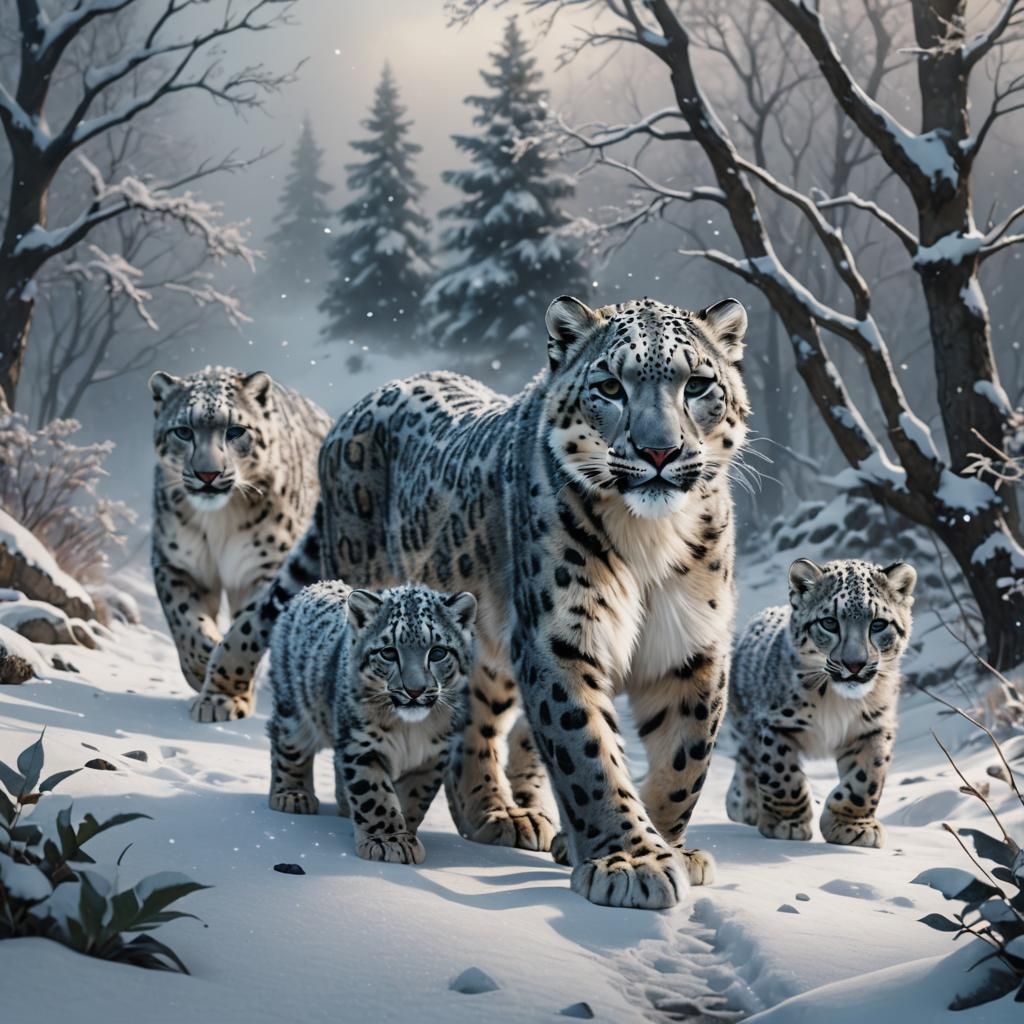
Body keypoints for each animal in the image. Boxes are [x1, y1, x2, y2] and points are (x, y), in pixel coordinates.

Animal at [149, 365, 331, 696]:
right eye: (183, 431)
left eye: (235, 431)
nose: (207, 475)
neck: (219, 520)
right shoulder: (177, 562)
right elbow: (184, 617)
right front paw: (201, 666)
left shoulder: (266, 568)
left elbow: (248, 625)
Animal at [267, 580, 477, 864]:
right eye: (388, 652)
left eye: (438, 652)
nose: (414, 691)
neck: (410, 730)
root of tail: (317, 584)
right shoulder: (362, 745)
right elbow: (374, 795)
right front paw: (389, 841)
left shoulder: (431, 756)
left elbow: (413, 798)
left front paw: (404, 833)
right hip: (295, 711)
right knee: (287, 743)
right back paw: (292, 795)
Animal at [727, 557, 917, 848]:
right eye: (829, 622)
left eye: (878, 624)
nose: (854, 664)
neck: (837, 700)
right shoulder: (776, 723)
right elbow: (781, 772)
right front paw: (787, 824)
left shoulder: (873, 727)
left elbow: (866, 777)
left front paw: (854, 827)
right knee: (747, 757)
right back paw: (744, 805)